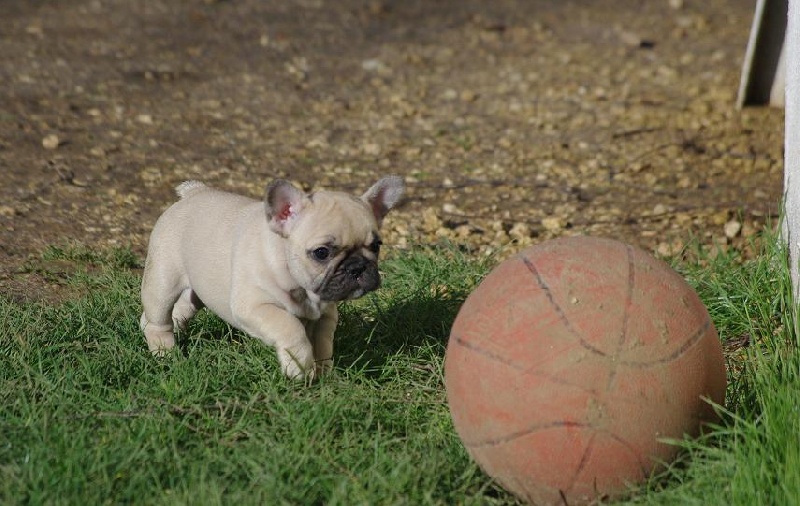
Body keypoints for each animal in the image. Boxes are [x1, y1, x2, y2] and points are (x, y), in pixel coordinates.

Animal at [141, 177, 404, 380]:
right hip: (163, 280)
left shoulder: (326, 315)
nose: (357, 267)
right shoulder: (255, 307)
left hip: (195, 291)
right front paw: (300, 368)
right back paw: (165, 353)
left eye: (376, 246)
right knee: (158, 319)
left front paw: (323, 373)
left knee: (177, 310)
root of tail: (195, 192)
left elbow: (323, 343)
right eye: (321, 252)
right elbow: (290, 327)